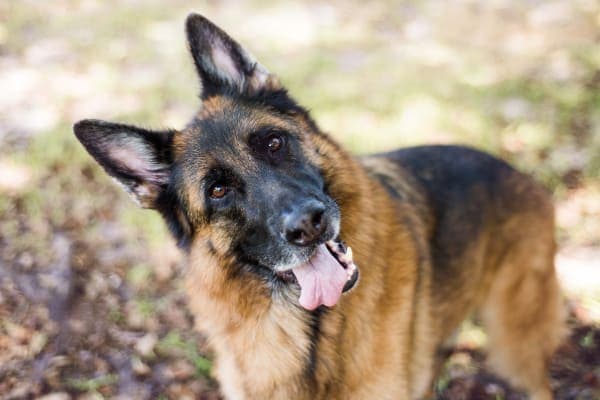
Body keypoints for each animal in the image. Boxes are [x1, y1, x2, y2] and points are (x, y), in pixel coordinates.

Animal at [72, 13, 564, 400]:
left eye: (274, 143)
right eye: (218, 191)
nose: (308, 225)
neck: (312, 332)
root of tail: (517, 172)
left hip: (515, 346)